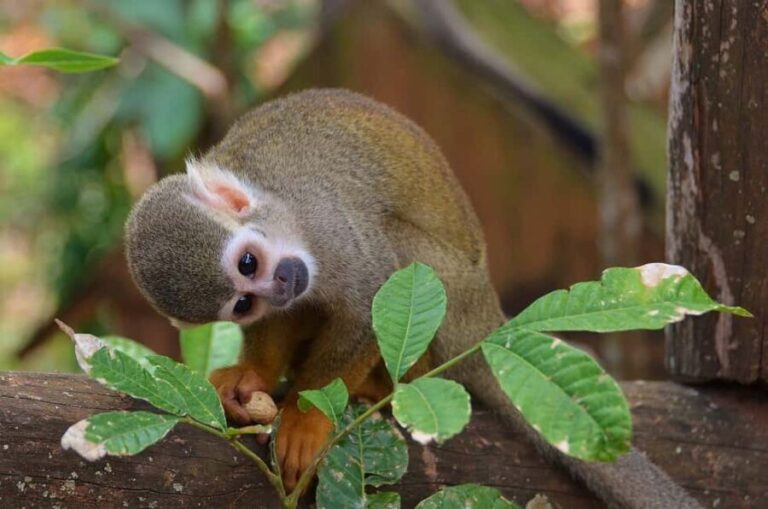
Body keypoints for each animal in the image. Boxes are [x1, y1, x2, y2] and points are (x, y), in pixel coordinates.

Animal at [125, 89, 701, 508]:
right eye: (243, 303)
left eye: (249, 263)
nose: (281, 284)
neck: (282, 213)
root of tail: (488, 321)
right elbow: (292, 317)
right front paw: (254, 377)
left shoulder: (328, 224)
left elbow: (369, 296)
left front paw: (307, 416)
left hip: (454, 298)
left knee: (399, 250)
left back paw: (386, 383)